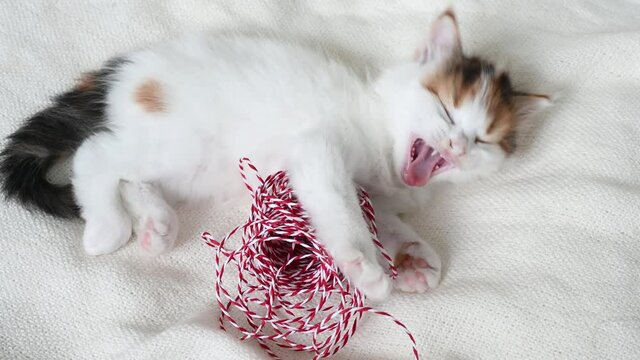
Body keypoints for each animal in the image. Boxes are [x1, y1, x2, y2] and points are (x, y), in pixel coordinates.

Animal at [1, 11, 552, 300]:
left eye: (482, 141)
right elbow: (343, 211)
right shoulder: (317, 150)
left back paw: (156, 225)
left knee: (128, 173)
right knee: (95, 154)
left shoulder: (378, 189)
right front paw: (367, 268)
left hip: (187, 164)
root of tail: (122, 73)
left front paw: (416, 256)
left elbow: (384, 217)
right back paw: (108, 228)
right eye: (444, 108)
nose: (456, 145)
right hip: (178, 140)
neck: (382, 138)